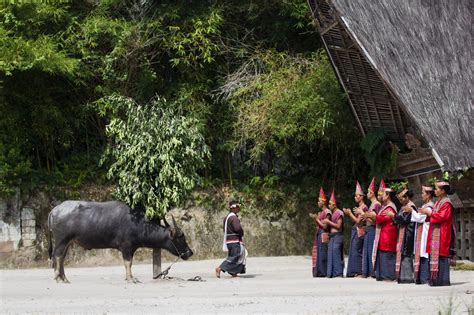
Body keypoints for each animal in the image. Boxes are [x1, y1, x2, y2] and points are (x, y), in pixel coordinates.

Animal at [49, 202, 193, 284]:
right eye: (180, 237)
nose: (190, 252)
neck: (137, 224)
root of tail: (55, 210)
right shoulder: (126, 247)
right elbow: (127, 263)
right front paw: (130, 279)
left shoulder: (132, 248)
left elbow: (130, 263)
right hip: (62, 240)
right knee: (57, 256)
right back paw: (58, 278)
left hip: (68, 242)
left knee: (61, 258)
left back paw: (64, 278)